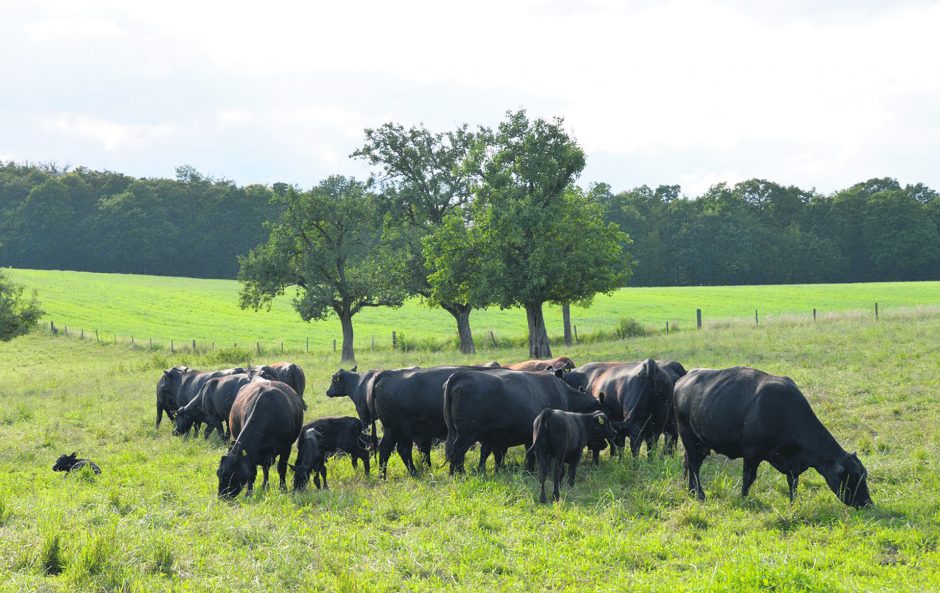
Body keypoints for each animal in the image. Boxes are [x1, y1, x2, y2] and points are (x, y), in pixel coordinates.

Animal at [442, 368, 604, 474]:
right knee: (458, 451)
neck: (565, 395)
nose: (604, 445)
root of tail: (460, 375)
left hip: (459, 433)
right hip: (466, 434)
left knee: (453, 450)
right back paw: (459, 473)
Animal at [672, 364, 872, 506]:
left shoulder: (792, 464)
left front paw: (793, 504)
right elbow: (748, 479)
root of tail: (685, 377)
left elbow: (793, 483)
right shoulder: (751, 454)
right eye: (852, 478)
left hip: (699, 444)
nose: (867, 503)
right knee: (694, 466)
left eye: (864, 475)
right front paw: (743, 499)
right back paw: (700, 495)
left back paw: (692, 492)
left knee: (689, 465)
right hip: (689, 438)